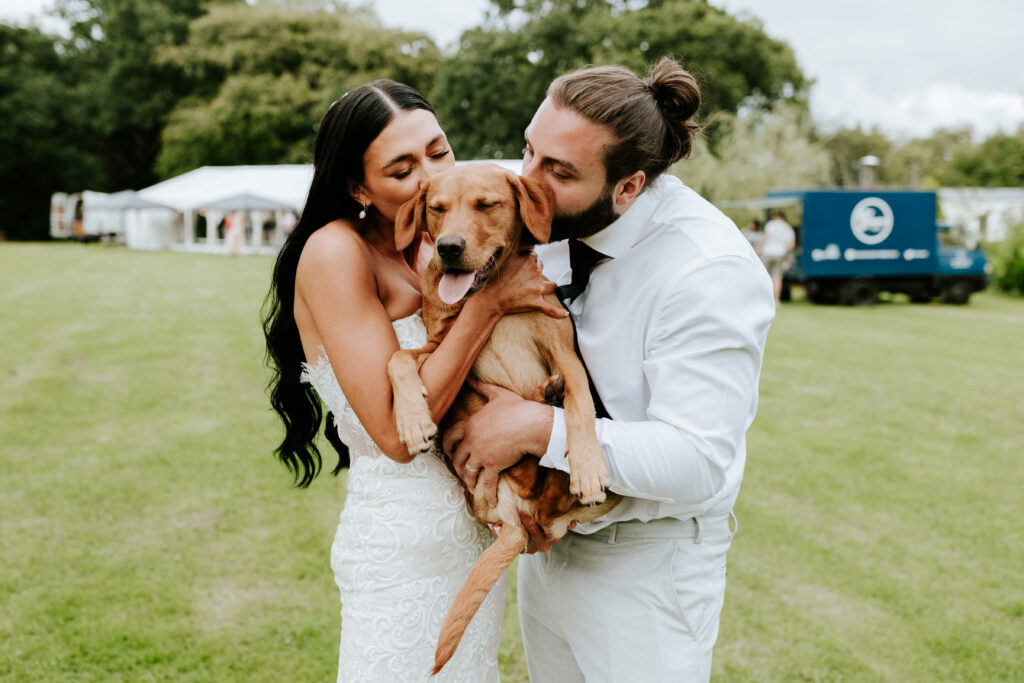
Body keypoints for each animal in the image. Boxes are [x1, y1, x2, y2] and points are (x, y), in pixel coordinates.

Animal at [387, 163, 618, 671]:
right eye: (436, 208)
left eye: (486, 204)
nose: (448, 248)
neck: (487, 301)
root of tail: (520, 524)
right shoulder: (440, 352)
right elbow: (397, 358)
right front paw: (413, 422)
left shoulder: (565, 352)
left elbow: (582, 407)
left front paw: (588, 465)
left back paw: (552, 404)